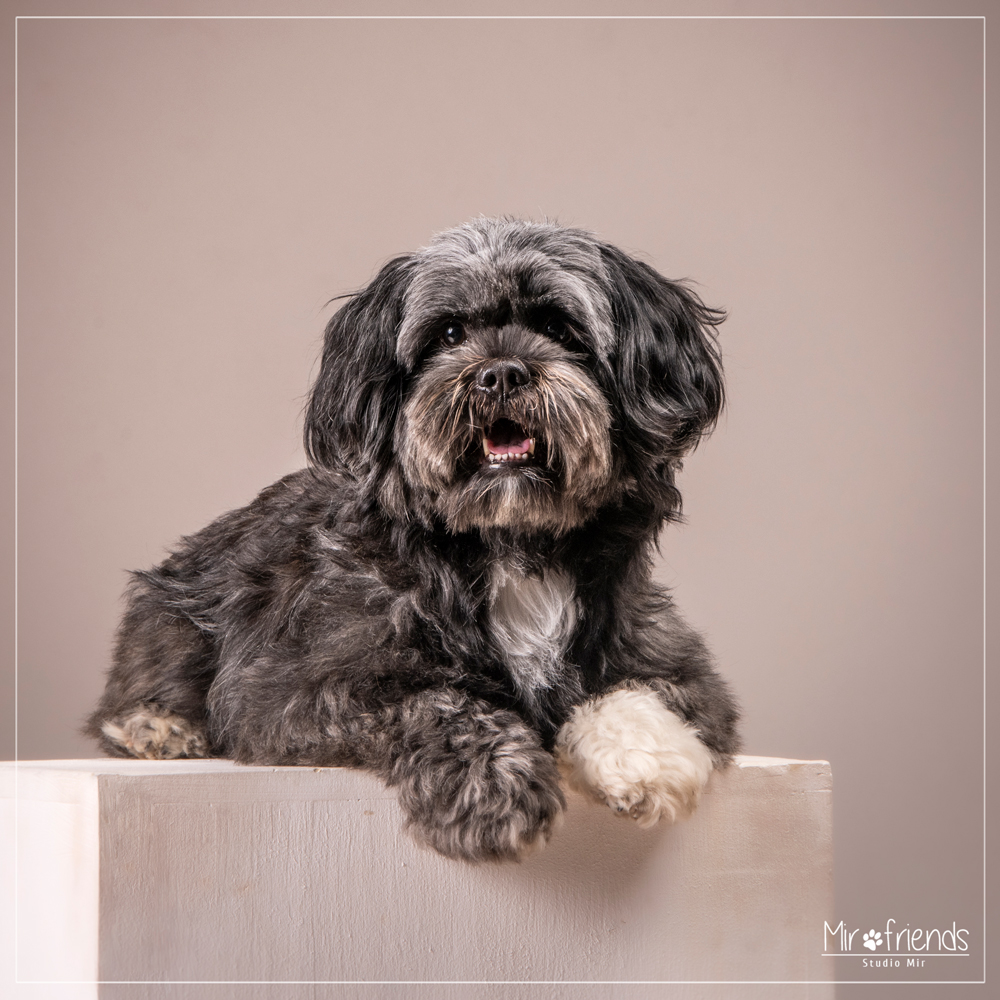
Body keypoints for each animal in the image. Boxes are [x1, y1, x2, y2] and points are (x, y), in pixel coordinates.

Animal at [88, 219, 744, 860]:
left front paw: (646, 761)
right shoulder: (296, 687)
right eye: (449, 332)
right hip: (175, 617)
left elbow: (638, 693)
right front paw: (492, 783)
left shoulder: (665, 656)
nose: (499, 373)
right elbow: (433, 699)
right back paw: (156, 727)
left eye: (558, 326)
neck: (509, 544)